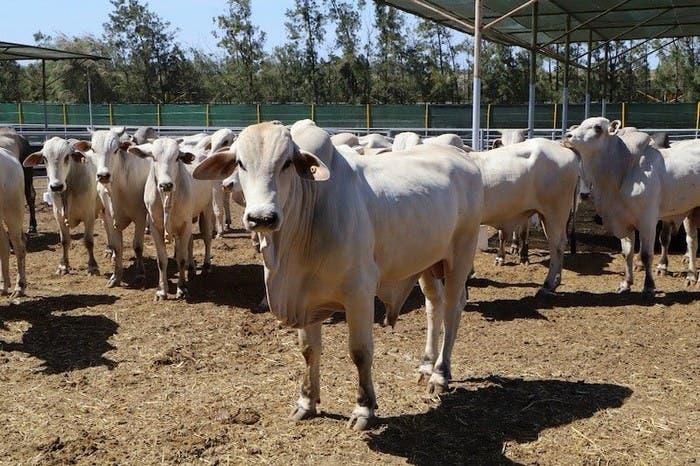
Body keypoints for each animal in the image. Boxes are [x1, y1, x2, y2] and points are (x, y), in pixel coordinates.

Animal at [194, 119, 484, 430]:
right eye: (240, 163)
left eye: (286, 163)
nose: (262, 218)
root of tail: (463, 157)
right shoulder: (305, 298)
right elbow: (309, 350)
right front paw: (306, 402)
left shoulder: (359, 294)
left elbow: (360, 351)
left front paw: (364, 408)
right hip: (426, 263)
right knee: (434, 305)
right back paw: (426, 365)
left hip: (460, 255)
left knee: (452, 309)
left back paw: (440, 373)